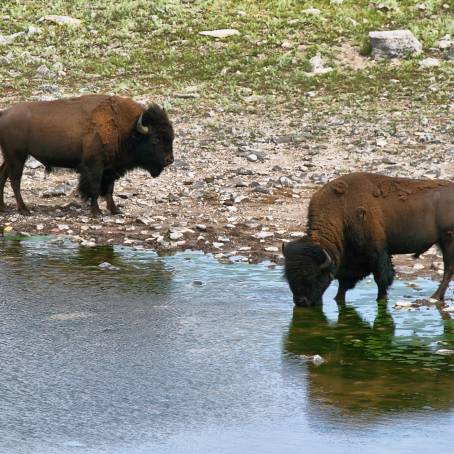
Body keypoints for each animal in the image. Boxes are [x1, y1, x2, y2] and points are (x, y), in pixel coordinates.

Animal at [0, 93, 174, 215]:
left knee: (3, 176)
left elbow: (109, 189)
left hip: (10, 157)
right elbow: (94, 188)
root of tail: (4, 113)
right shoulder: (94, 166)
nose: (170, 160)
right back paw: (24, 209)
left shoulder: (110, 169)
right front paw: (96, 212)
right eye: (156, 139)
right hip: (17, 156)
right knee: (15, 181)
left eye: (172, 137)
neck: (127, 130)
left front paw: (115, 210)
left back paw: (3, 207)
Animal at [284, 172, 454, 306]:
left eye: (312, 275)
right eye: (288, 277)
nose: (301, 301)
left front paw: (381, 298)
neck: (341, 210)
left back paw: (435, 296)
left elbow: (381, 277)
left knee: (448, 268)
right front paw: (338, 298)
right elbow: (345, 281)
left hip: (448, 240)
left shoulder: (376, 252)